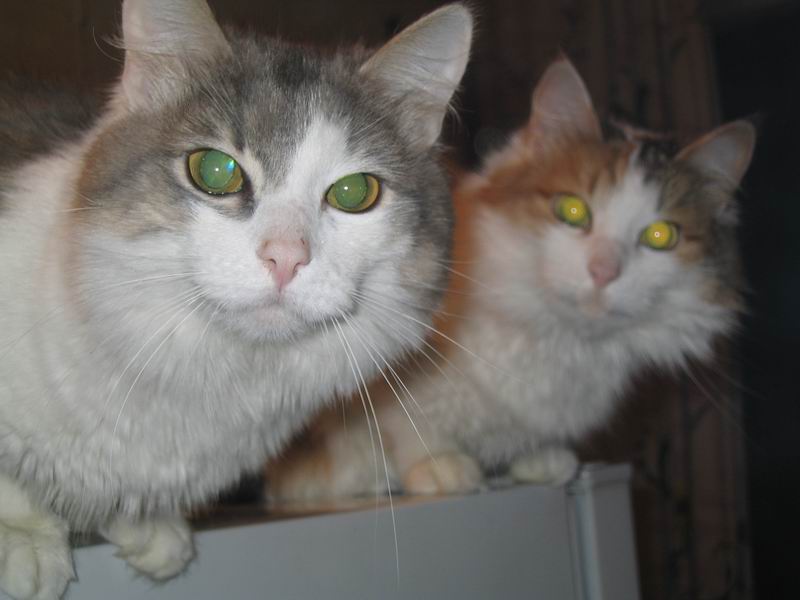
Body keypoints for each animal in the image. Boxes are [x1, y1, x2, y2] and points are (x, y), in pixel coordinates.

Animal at [265, 56, 755, 504]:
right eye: (572, 210)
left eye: (660, 236)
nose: (603, 271)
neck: (558, 340)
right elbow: (402, 423)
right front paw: (438, 464)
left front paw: (540, 458)